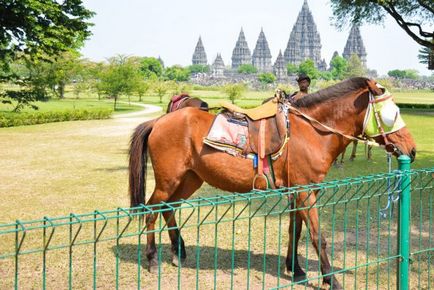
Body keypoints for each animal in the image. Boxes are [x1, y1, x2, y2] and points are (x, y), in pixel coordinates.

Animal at [130, 77, 418, 288]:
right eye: (392, 114)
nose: (412, 150)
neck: (311, 131)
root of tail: (159, 121)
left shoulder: (301, 191)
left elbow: (295, 230)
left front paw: (296, 268)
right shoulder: (304, 192)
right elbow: (317, 236)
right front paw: (330, 279)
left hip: (189, 179)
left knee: (169, 209)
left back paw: (178, 252)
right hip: (168, 181)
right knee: (152, 211)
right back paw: (152, 259)